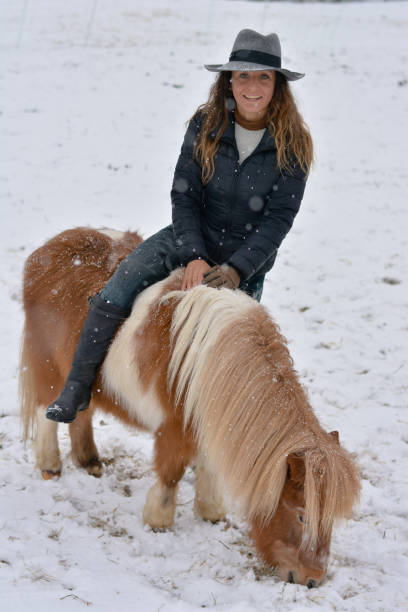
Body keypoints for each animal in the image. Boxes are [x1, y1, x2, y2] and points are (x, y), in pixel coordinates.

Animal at [19, 227, 360, 584]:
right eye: (301, 515)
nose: (312, 579)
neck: (215, 358)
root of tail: (49, 247)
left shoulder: (212, 421)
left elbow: (208, 464)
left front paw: (210, 510)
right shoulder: (175, 425)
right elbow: (172, 472)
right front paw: (158, 519)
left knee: (82, 413)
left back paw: (90, 462)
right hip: (49, 368)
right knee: (49, 412)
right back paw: (50, 464)